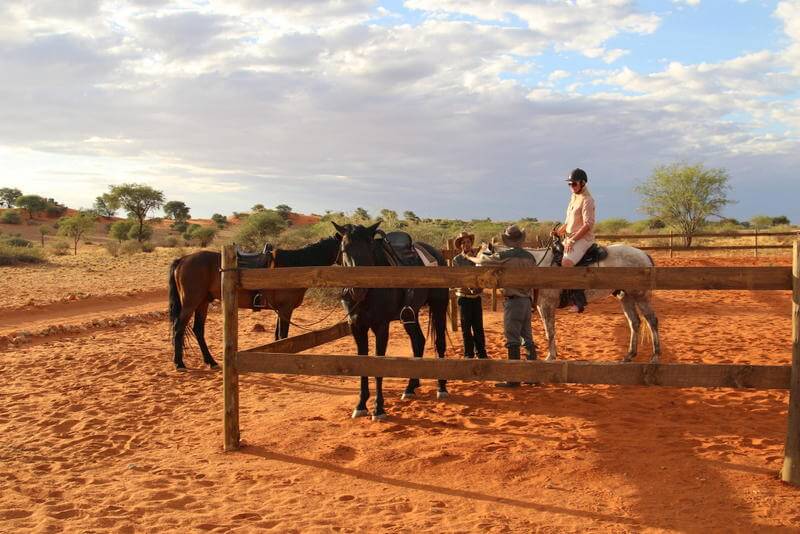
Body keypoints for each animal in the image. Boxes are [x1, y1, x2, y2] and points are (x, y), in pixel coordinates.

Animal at [167, 237, 342, 370]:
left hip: (203, 303)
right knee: (178, 328)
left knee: (198, 330)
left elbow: (278, 337)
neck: (294, 267)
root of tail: (183, 259)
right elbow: (283, 336)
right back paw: (179, 363)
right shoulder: (285, 309)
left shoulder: (281, 310)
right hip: (191, 303)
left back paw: (210, 361)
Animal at [332, 222, 450, 422]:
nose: (357, 289)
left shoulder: (381, 326)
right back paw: (410, 387)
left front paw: (378, 409)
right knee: (418, 341)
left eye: (369, 248)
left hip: (439, 307)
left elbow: (379, 366)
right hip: (409, 315)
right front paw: (361, 405)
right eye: (344, 249)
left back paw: (441, 388)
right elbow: (362, 363)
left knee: (439, 343)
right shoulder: (356, 326)